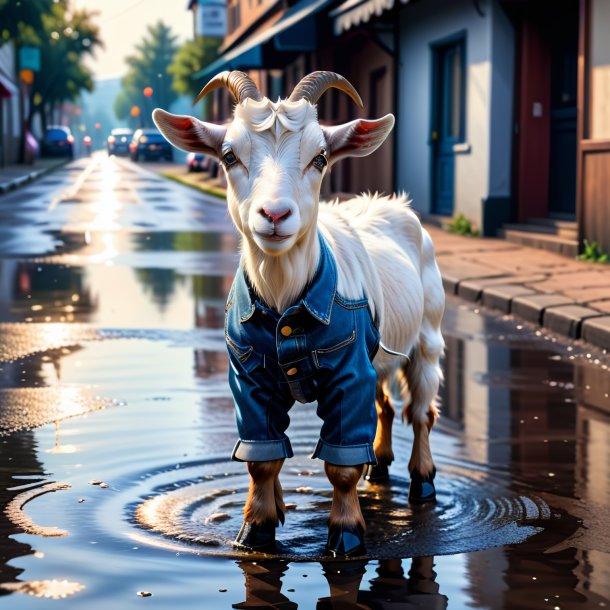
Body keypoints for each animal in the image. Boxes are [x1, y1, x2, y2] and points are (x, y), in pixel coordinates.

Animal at [154, 71, 444, 556]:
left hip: (428, 335)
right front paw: (256, 529)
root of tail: (394, 204)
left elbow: (341, 464)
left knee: (421, 411)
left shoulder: (348, 370)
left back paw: (421, 481)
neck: (285, 300)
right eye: (229, 156)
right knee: (385, 404)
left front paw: (346, 535)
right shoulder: (248, 375)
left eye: (320, 157)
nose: (274, 214)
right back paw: (381, 466)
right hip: (381, 353)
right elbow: (261, 459)